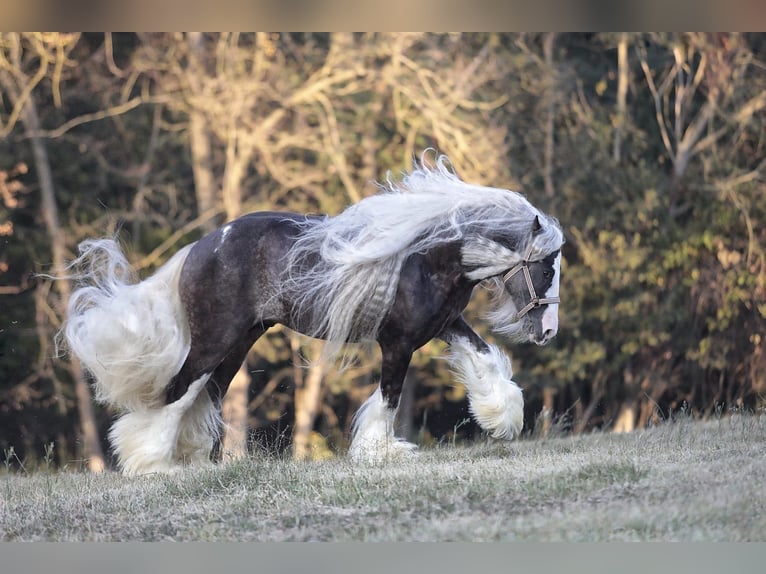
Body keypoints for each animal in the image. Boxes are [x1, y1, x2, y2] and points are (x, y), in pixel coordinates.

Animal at [61, 153, 564, 476]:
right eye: (546, 267)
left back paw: (188, 462)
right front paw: (380, 454)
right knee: (178, 393)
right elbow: (388, 398)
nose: (548, 332)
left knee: (204, 396)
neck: (426, 257)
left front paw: (503, 419)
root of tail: (198, 249)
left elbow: (485, 360)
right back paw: (153, 465)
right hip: (213, 341)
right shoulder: (397, 343)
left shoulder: (445, 326)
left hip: (237, 344)